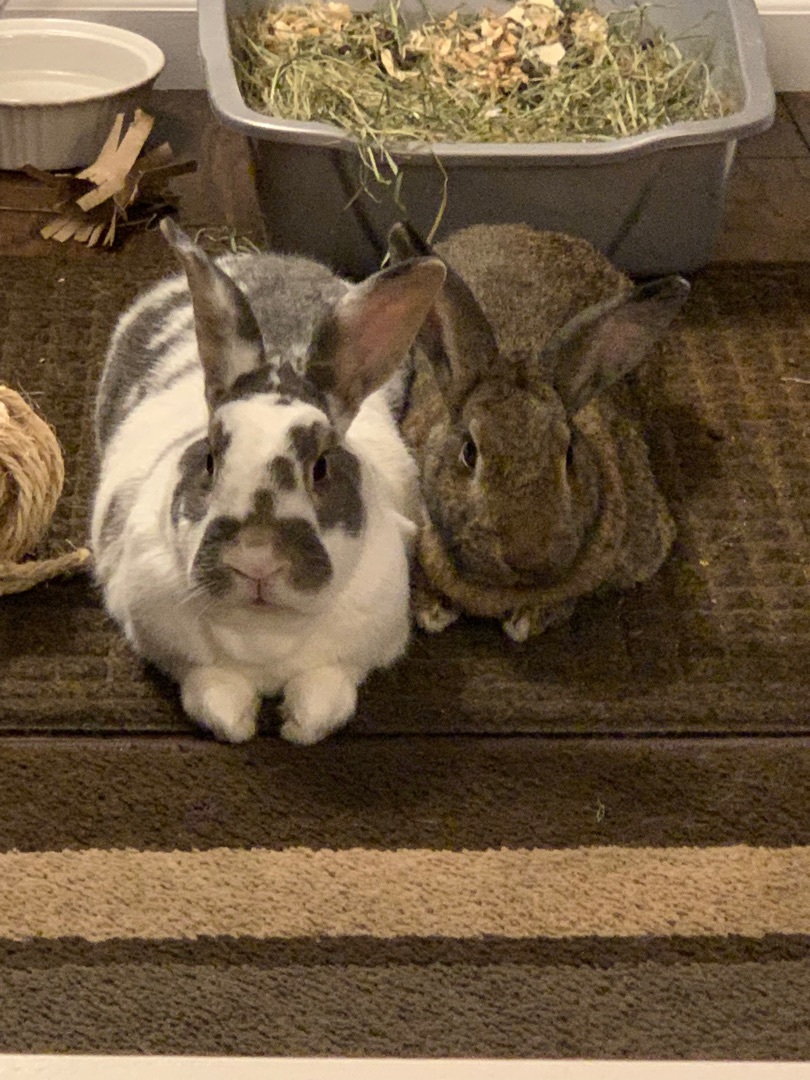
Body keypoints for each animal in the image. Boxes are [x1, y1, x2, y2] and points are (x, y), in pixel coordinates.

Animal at [90, 219, 446, 744]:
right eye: (210, 460)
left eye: (321, 466)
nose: (256, 559)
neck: (265, 636)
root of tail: (270, 258)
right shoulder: (175, 651)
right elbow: (213, 690)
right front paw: (240, 724)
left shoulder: (355, 655)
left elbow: (326, 694)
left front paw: (297, 728)